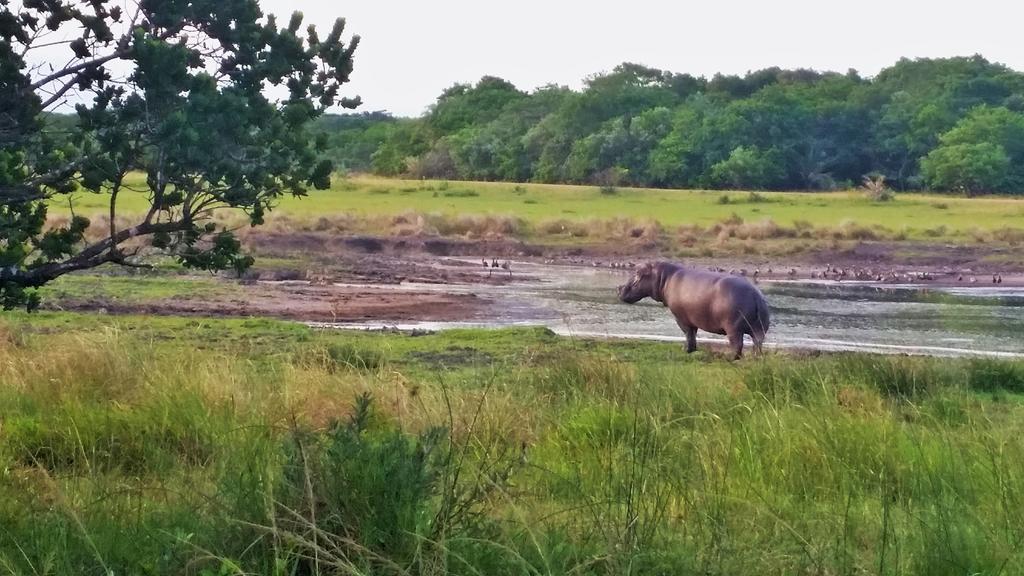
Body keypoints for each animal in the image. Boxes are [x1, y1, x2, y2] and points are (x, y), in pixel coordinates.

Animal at [614, 261, 770, 358]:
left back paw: (729, 357)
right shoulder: (691, 318)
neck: (664, 278)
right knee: (757, 343)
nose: (619, 288)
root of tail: (755, 296)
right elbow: (693, 334)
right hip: (759, 329)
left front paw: (685, 350)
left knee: (737, 345)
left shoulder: (681, 317)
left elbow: (688, 333)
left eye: (638, 273)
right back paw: (756, 357)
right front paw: (692, 350)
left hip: (733, 329)